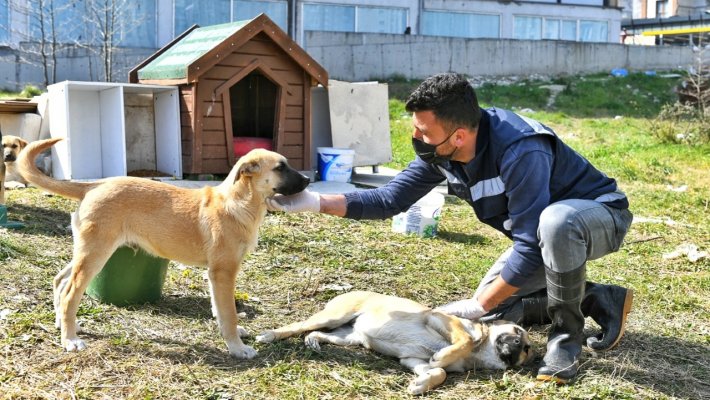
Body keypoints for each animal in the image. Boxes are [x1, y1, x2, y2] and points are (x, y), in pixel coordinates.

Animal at [16, 138, 310, 360]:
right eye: (281, 167)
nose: (308, 179)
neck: (238, 202)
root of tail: (96, 184)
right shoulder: (223, 272)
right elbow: (228, 314)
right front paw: (237, 348)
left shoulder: (215, 276)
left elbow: (221, 309)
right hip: (95, 254)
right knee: (70, 293)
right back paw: (70, 339)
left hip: (88, 251)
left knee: (60, 281)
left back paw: (64, 324)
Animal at [256, 290, 536, 394]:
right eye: (518, 332)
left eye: (526, 349)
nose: (516, 346)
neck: (477, 354)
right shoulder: (438, 319)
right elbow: (464, 339)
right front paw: (443, 356)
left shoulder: (413, 360)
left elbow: (439, 373)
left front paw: (421, 385)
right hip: (334, 316)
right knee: (297, 326)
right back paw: (270, 335)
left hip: (350, 338)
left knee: (319, 334)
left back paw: (313, 341)